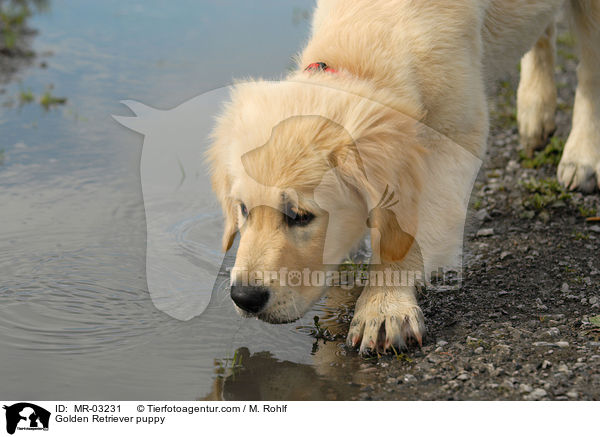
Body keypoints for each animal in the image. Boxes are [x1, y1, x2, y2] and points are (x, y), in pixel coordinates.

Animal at [207, 0, 600, 352]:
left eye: (301, 216)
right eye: (243, 210)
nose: (244, 297)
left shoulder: (456, 136)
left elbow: (405, 229)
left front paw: (384, 307)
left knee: (589, 70)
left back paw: (582, 155)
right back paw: (535, 112)